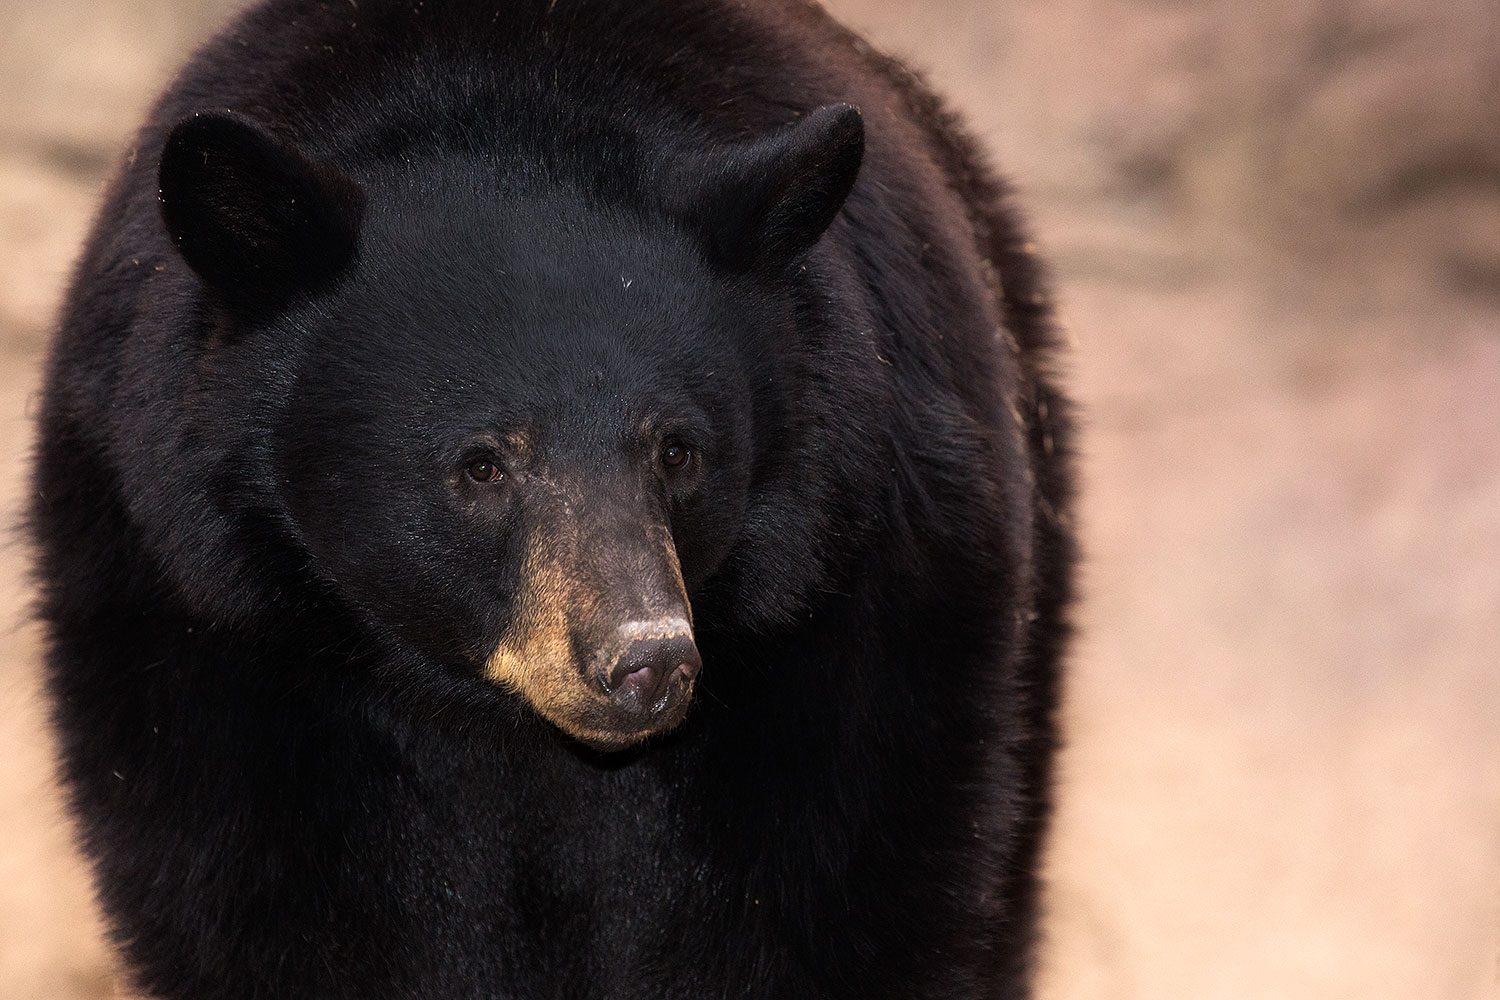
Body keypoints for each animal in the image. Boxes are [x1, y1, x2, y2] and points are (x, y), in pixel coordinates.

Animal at [30, 0, 1074, 997]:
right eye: (483, 465)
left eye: (680, 451)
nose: (648, 661)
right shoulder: (202, 630)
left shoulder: (859, 612)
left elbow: (842, 893)